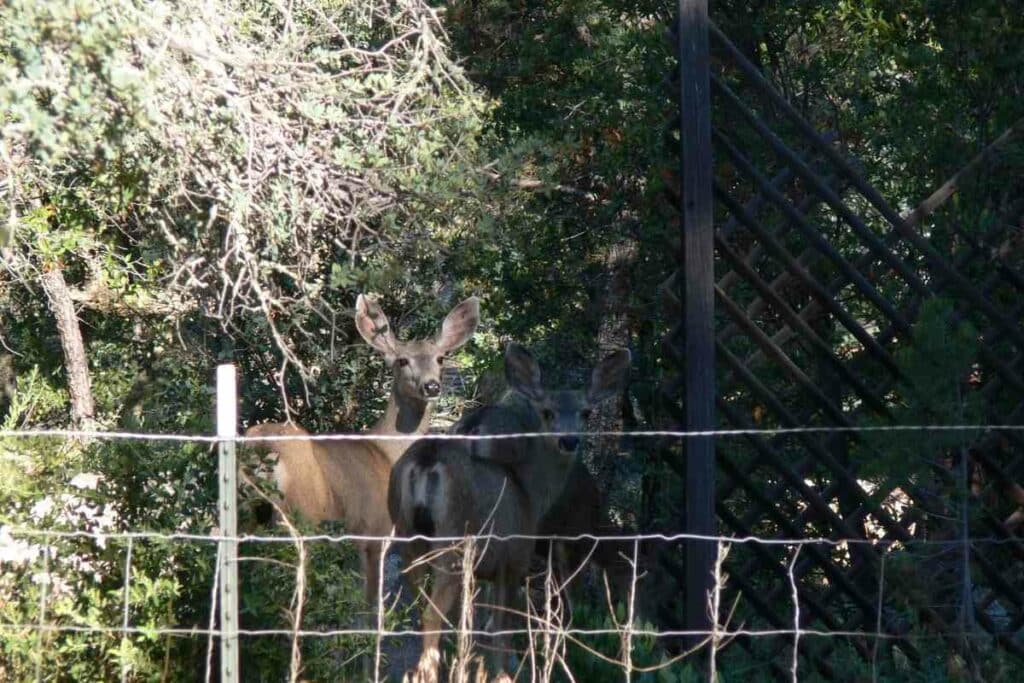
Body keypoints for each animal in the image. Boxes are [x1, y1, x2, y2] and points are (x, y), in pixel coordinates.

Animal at [243, 294, 479, 610]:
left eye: (440, 358)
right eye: (402, 360)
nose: (432, 386)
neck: (385, 452)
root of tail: (262, 452)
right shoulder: (376, 529)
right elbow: (371, 602)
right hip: (301, 517)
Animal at [387, 344, 626, 679]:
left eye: (586, 412)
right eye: (547, 412)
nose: (569, 440)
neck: (530, 493)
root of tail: (426, 461)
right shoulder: (514, 560)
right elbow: (499, 631)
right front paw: (504, 672)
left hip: (407, 533)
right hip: (453, 544)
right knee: (432, 616)